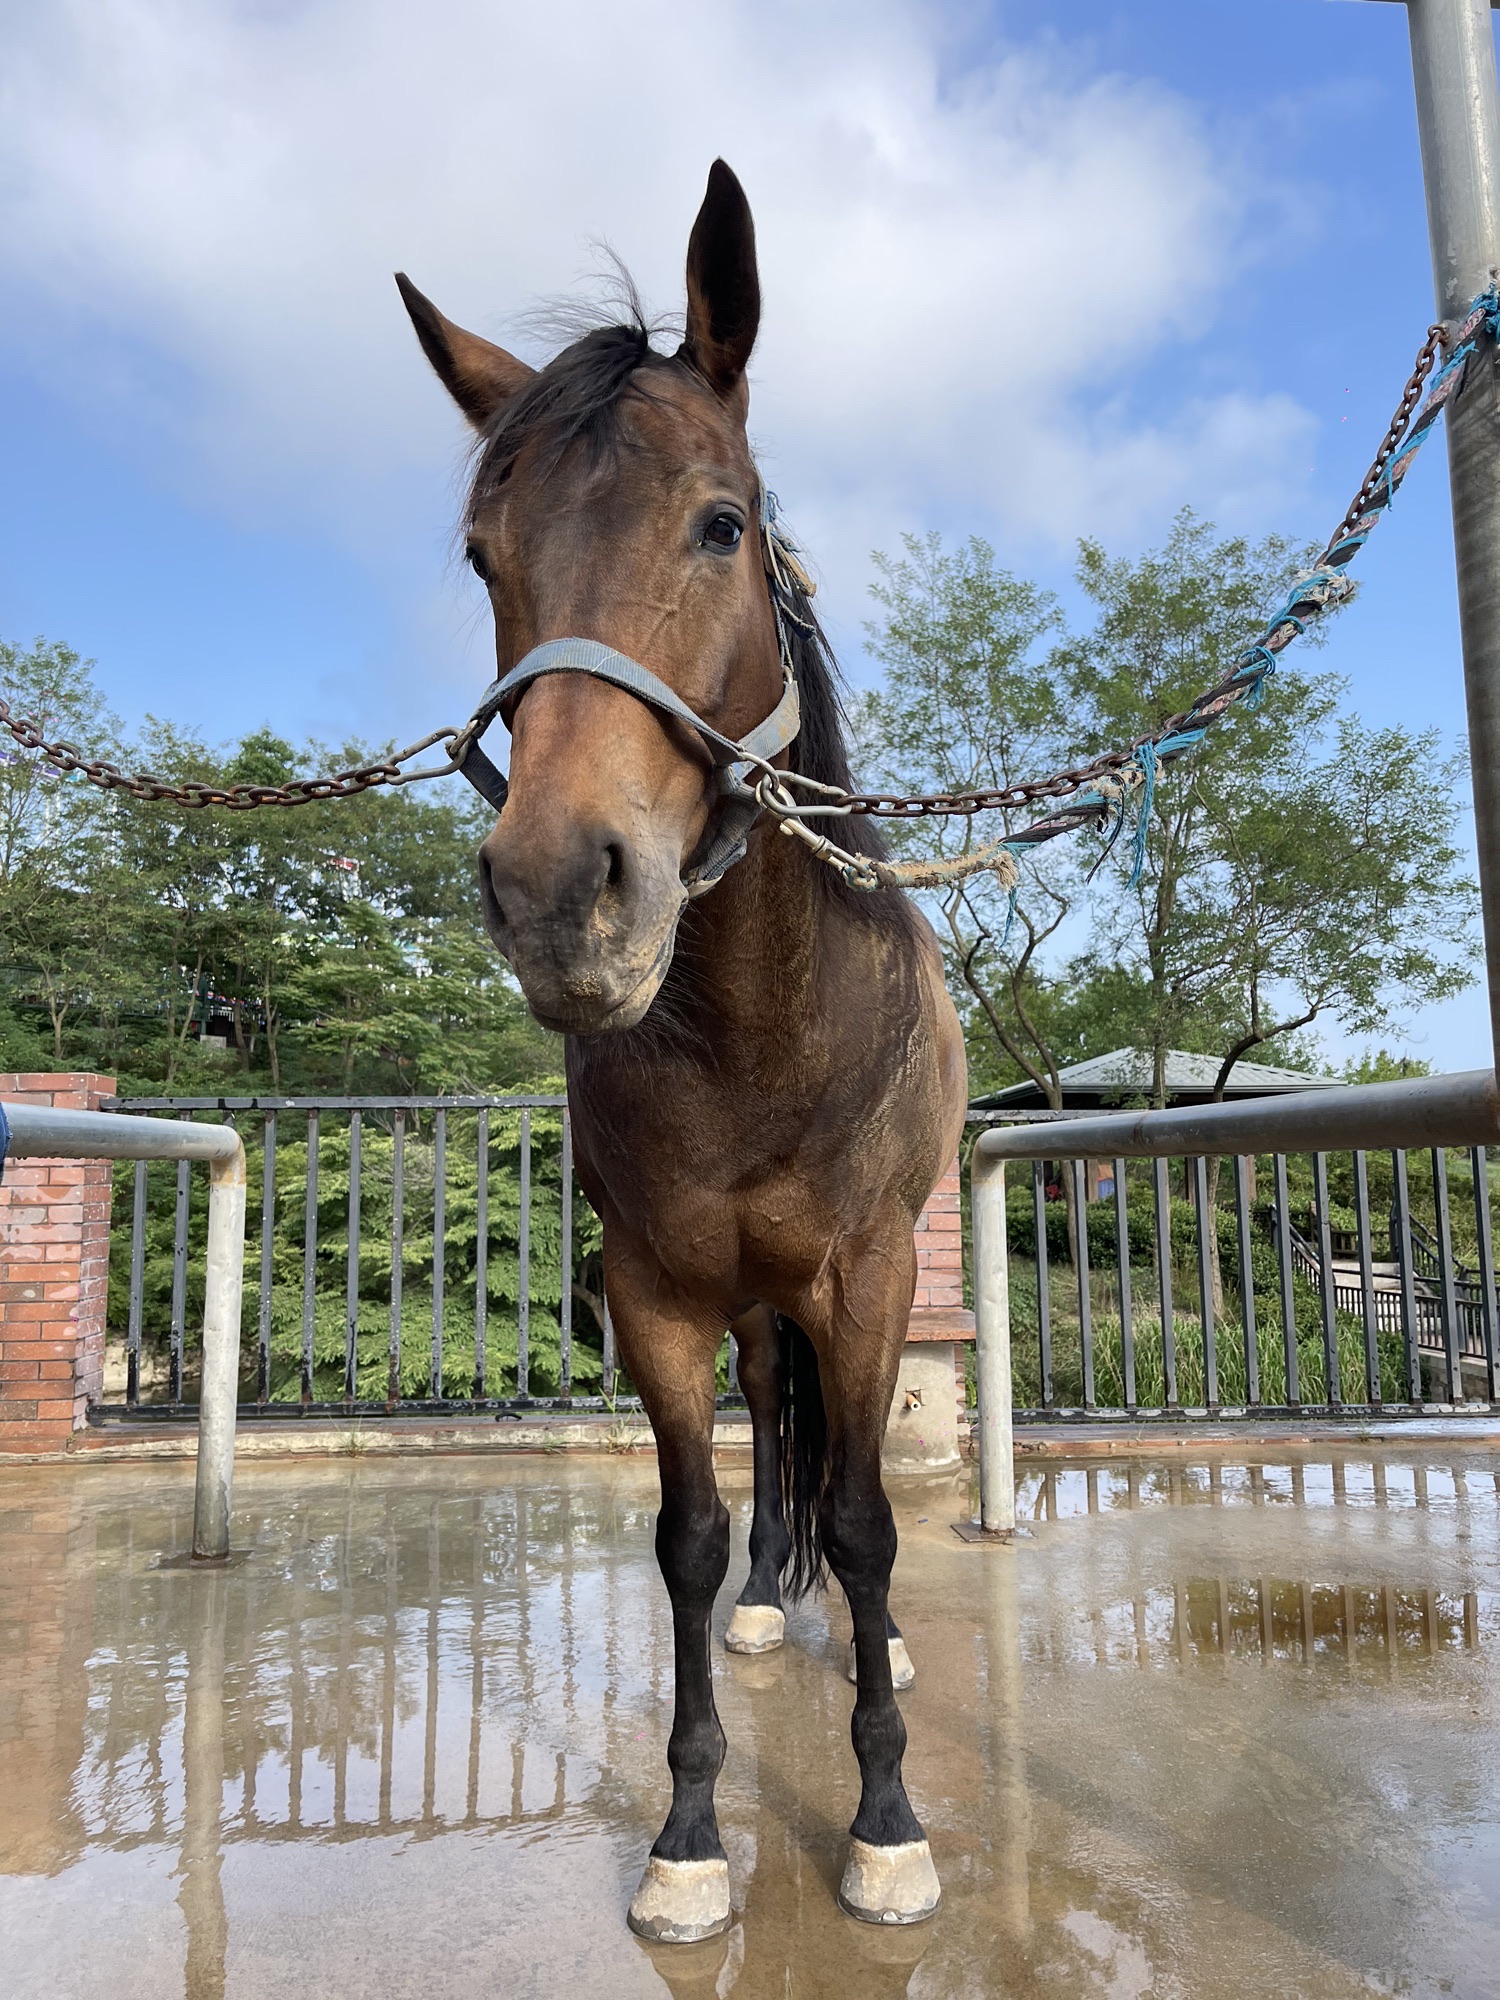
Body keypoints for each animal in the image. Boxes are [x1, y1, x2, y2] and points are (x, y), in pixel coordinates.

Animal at [397, 159, 967, 1942]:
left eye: (721, 524)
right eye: (484, 555)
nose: (557, 893)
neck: (755, 1032)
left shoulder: (866, 1273)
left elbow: (868, 1520)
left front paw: (885, 1820)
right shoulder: (650, 1291)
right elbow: (695, 1533)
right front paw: (693, 1834)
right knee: (772, 1427)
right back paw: (783, 1608)